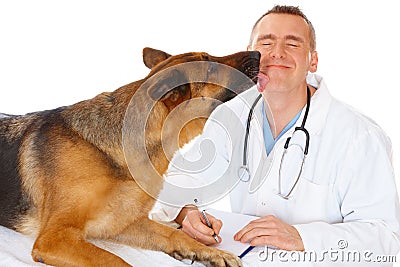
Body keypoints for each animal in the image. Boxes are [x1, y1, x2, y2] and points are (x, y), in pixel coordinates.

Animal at [0, 48, 260, 267]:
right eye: (211, 68)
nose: (257, 53)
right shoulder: (55, 236)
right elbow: (116, 261)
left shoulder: (122, 223)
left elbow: (173, 233)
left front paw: (213, 253)